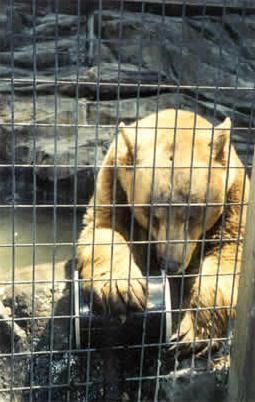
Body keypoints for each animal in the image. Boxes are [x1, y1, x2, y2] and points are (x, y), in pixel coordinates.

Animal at [76, 108, 250, 350]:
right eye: (153, 215)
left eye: (193, 215)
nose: (170, 264)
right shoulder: (114, 187)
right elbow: (103, 230)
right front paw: (121, 291)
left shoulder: (234, 202)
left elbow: (226, 254)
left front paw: (189, 333)